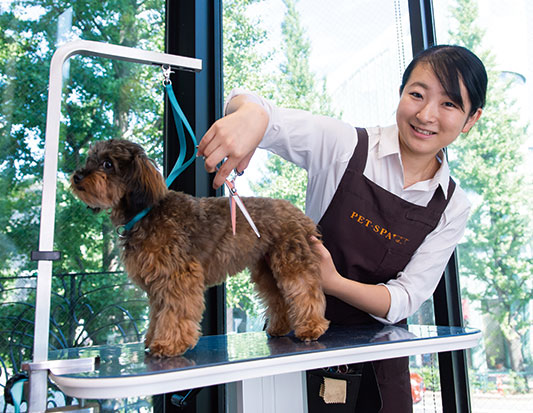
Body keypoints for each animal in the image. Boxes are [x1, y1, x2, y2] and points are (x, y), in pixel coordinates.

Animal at [69, 139, 328, 358]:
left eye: (107, 164)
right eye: (90, 159)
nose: (77, 176)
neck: (146, 211)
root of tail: (299, 215)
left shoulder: (177, 277)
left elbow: (174, 312)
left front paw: (168, 344)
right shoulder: (157, 285)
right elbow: (157, 314)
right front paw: (152, 339)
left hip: (290, 263)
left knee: (305, 291)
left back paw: (311, 327)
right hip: (266, 270)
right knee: (278, 298)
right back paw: (279, 327)